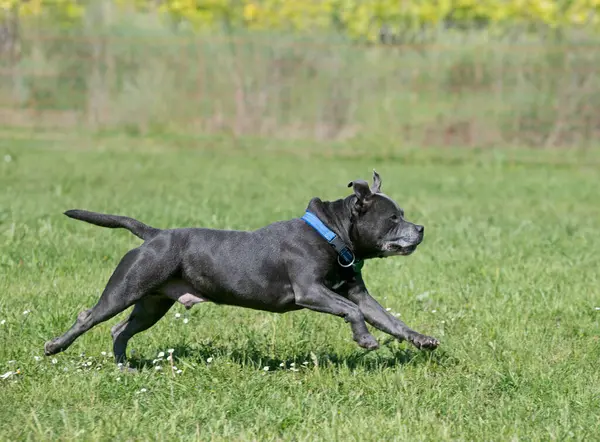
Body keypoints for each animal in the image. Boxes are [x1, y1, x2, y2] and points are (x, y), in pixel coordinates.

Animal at [44, 171, 440, 364]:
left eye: (403, 215)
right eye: (393, 218)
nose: (421, 228)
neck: (333, 234)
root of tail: (154, 235)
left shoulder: (360, 295)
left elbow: (391, 320)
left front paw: (422, 339)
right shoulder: (311, 291)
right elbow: (351, 313)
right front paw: (366, 340)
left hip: (153, 304)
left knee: (120, 330)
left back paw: (124, 366)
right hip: (126, 288)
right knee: (88, 318)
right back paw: (55, 347)